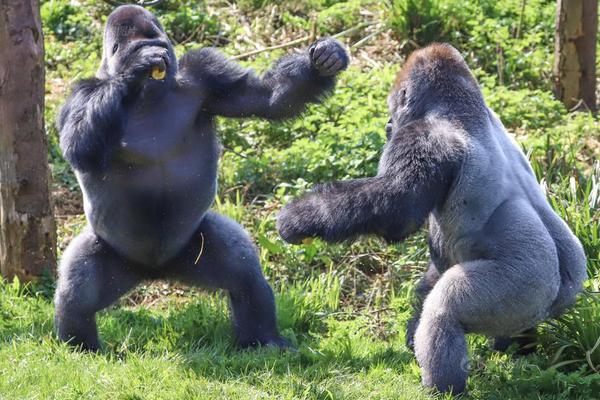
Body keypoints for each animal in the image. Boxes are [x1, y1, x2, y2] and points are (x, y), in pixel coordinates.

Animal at [56, 4, 350, 352]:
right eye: (142, 47)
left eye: (159, 41)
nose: (158, 56)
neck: (148, 95)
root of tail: (156, 272)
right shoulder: (80, 95)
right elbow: (79, 145)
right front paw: (133, 70)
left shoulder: (206, 74)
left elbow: (267, 97)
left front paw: (322, 62)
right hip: (115, 255)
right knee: (77, 293)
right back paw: (80, 346)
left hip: (193, 248)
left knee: (244, 275)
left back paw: (264, 338)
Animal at [276, 42, 584, 392]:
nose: (388, 125)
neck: (461, 105)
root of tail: (561, 291)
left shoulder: (424, 136)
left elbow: (396, 209)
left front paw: (301, 216)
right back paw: (519, 351)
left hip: (525, 286)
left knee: (444, 309)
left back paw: (442, 386)